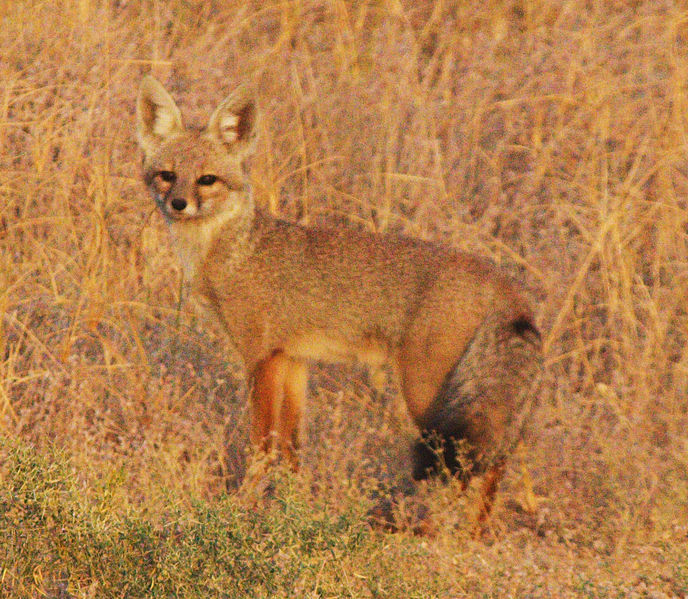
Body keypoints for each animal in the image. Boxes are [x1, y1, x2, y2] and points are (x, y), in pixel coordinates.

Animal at [136, 75, 544, 516]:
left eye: (206, 179)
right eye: (167, 175)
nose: (178, 203)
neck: (235, 252)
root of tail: (504, 279)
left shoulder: (262, 359)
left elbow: (262, 445)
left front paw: (244, 504)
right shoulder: (294, 361)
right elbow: (292, 449)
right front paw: (293, 505)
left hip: (426, 396)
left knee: (473, 465)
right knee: (497, 462)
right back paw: (477, 529)